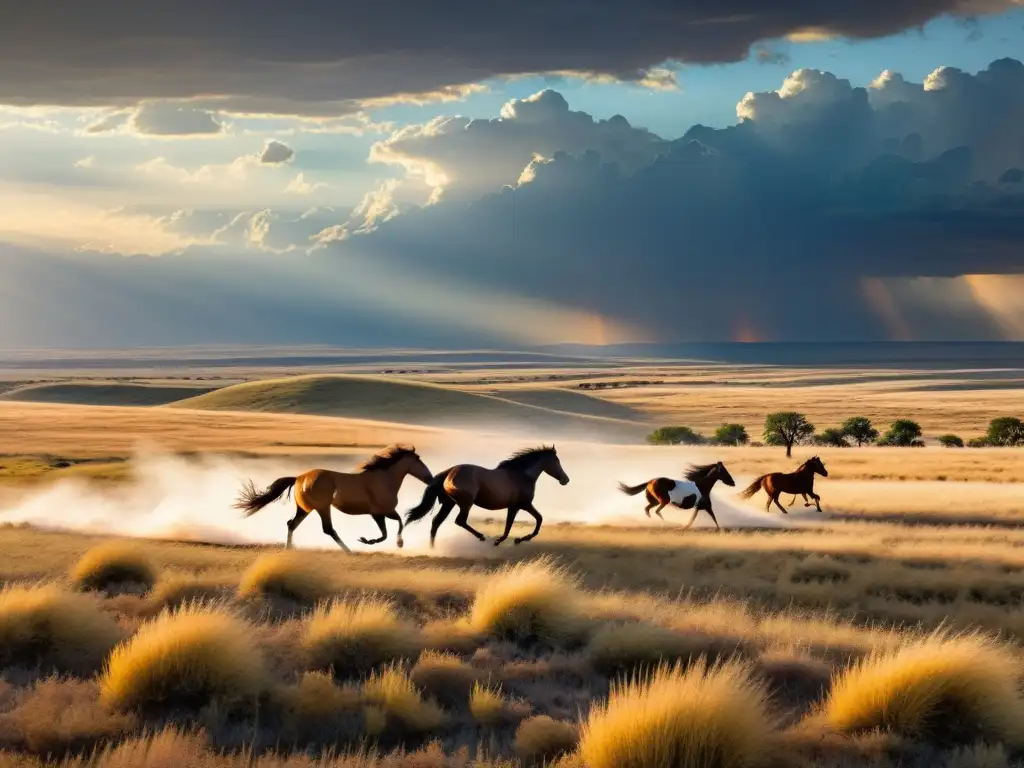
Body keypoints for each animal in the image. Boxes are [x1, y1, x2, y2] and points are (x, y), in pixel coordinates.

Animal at [234, 444, 432, 552]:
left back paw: (289, 548)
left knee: (292, 524)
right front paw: (372, 541)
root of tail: (299, 478)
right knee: (328, 529)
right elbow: (390, 529)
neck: (383, 478)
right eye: (418, 460)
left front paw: (384, 542)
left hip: (305, 509)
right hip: (322, 507)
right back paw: (349, 551)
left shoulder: (383, 512)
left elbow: (395, 525)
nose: (430, 478)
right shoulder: (379, 512)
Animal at [403, 448, 573, 548]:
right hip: (465, 503)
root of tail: (450, 472)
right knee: (459, 521)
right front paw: (515, 540)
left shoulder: (514, 507)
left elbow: (510, 526)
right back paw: (481, 537)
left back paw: (433, 548)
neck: (522, 475)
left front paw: (507, 540)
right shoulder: (522, 505)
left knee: (436, 522)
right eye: (556, 461)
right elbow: (537, 519)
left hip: (449, 504)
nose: (565, 480)